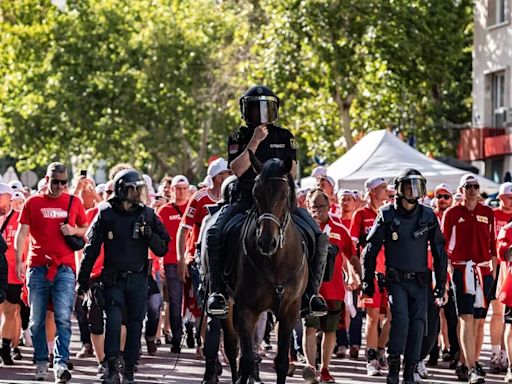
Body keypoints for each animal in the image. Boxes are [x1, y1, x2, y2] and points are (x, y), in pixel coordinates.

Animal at [221, 153, 308, 384]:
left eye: (284, 195)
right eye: (255, 194)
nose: (267, 242)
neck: (276, 262)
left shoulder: (289, 310)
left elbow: (282, 362)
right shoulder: (245, 309)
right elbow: (246, 359)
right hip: (227, 304)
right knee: (233, 348)